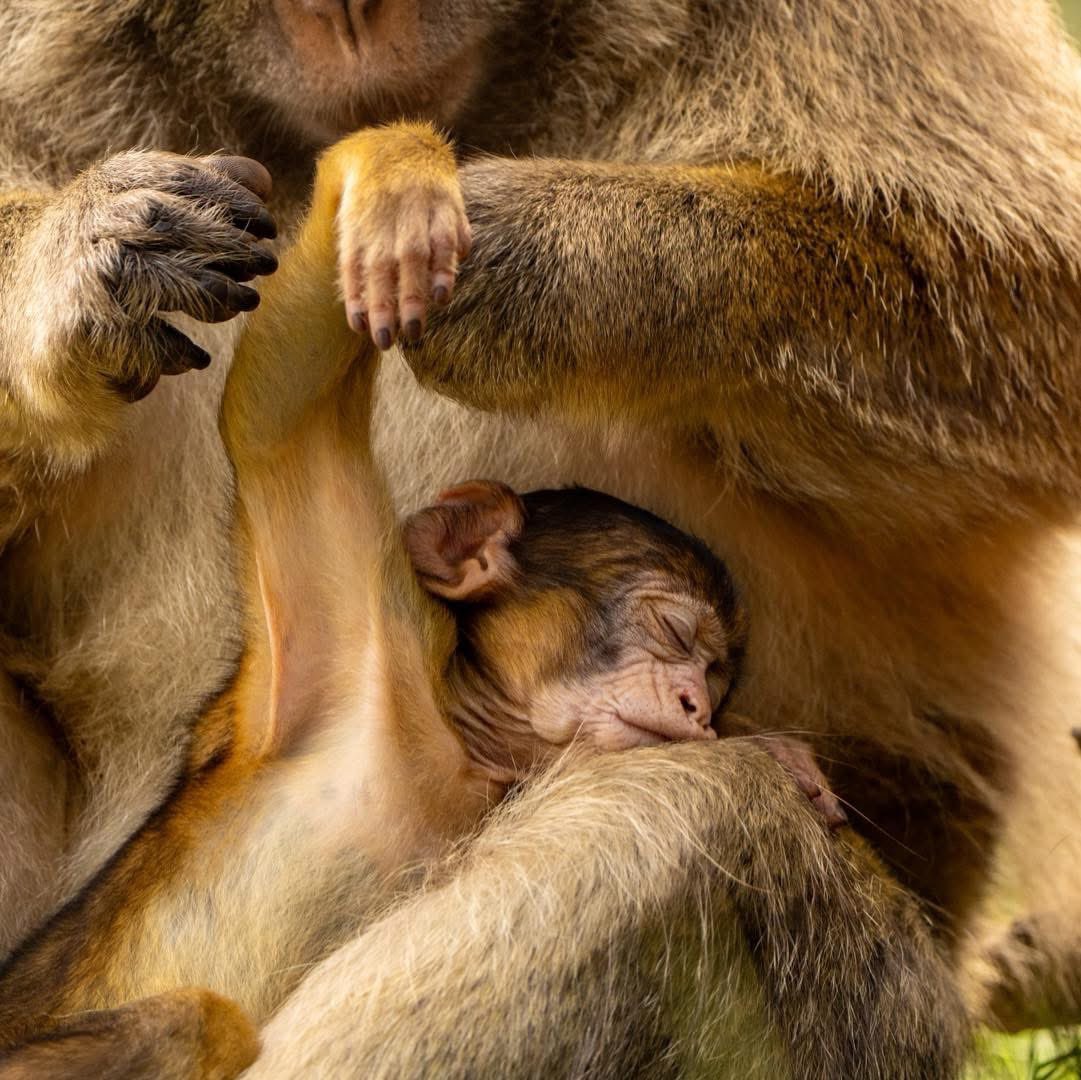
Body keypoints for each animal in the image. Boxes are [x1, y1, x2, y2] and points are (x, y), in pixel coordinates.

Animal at [0, 0, 1079, 1048]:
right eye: (670, 633)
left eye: (714, 671)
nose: (352, 17)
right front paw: (82, 257)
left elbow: (1030, 301)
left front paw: (546, 253)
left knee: (698, 812)